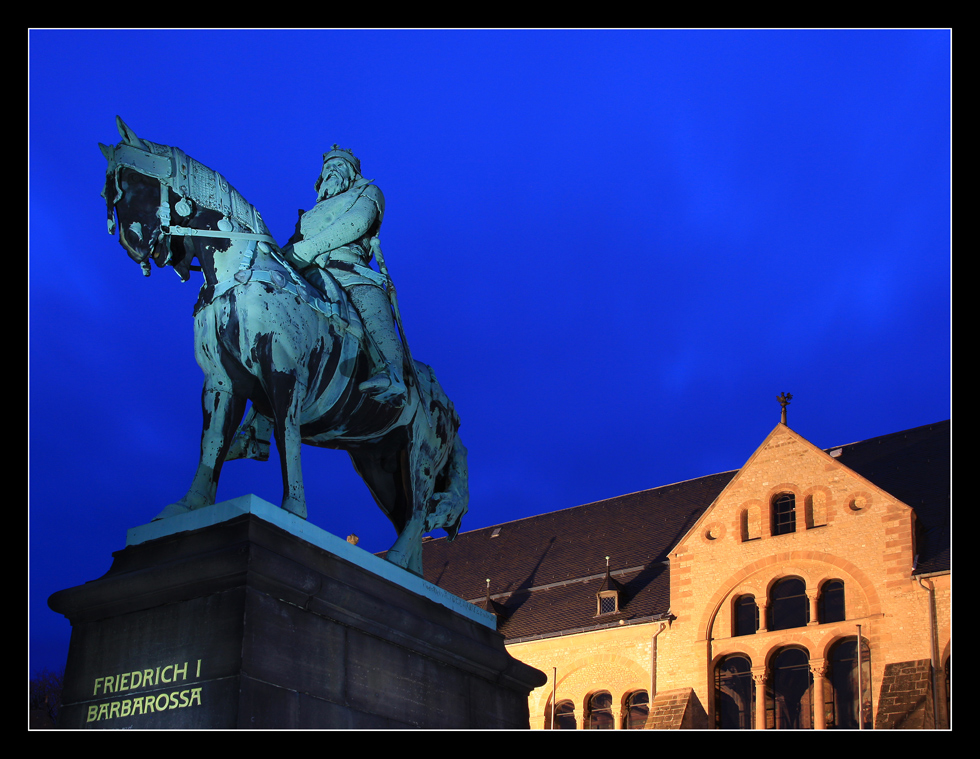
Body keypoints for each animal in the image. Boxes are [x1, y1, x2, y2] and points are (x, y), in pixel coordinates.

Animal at [99, 116, 468, 572]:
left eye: (138, 182)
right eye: (111, 191)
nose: (133, 246)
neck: (238, 275)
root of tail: (451, 408)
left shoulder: (284, 372)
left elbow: (286, 436)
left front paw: (293, 510)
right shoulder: (221, 383)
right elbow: (212, 443)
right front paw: (188, 506)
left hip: (419, 454)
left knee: (417, 510)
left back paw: (398, 560)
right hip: (378, 462)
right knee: (408, 516)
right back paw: (408, 569)